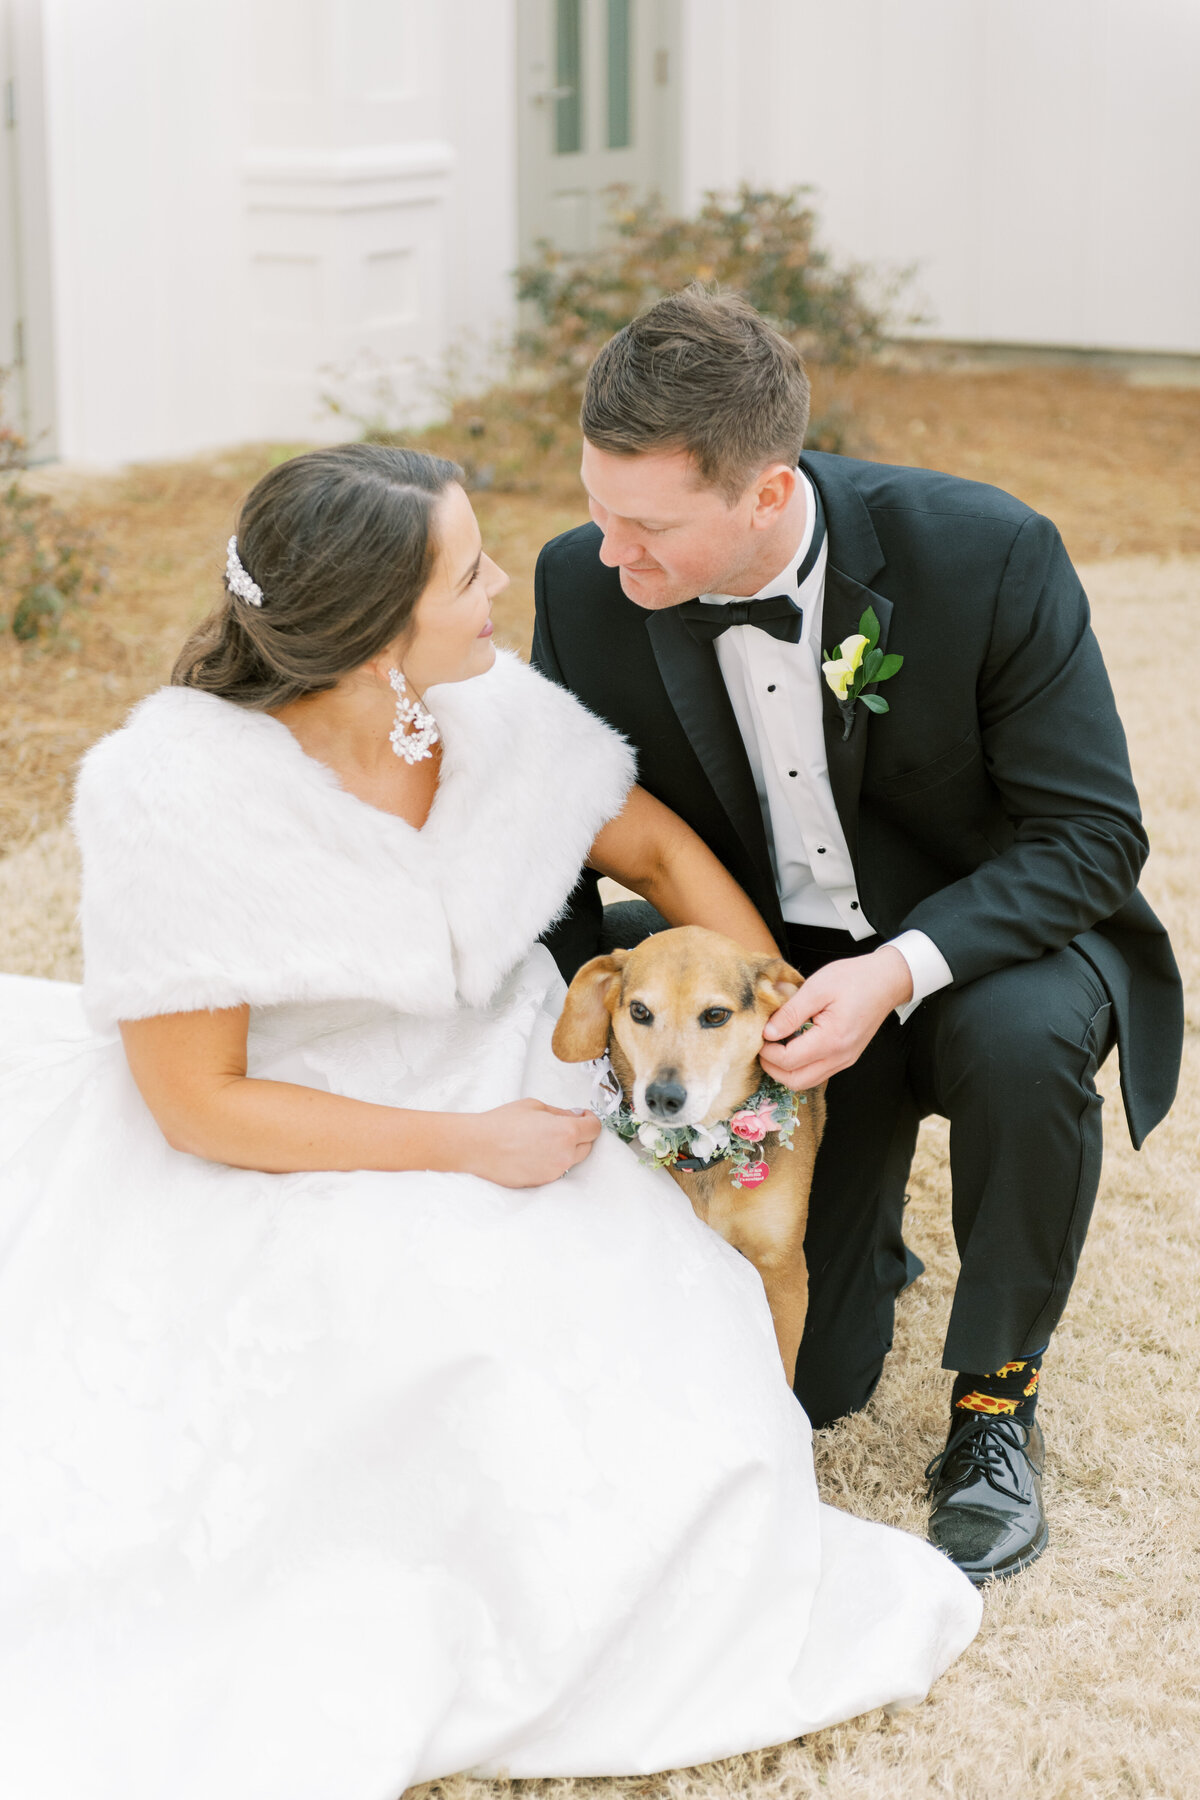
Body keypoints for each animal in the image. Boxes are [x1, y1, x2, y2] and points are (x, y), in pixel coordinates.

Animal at [554, 928, 827, 1375]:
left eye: (715, 1015)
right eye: (640, 1011)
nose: (662, 1098)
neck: (705, 1150)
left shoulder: (783, 1268)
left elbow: (783, 1366)